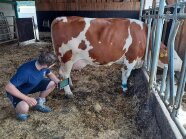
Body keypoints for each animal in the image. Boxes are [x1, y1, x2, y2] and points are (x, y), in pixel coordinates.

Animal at [50, 16, 182, 97]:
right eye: (174, 58)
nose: (182, 65)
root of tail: (59, 18)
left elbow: (123, 72)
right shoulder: (131, 57)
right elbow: (126, 74)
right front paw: (124, 88)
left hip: (67, 60)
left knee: (65, 74)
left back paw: (70, 84)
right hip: (67, 57)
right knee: (64, 74)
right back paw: (68, 93)